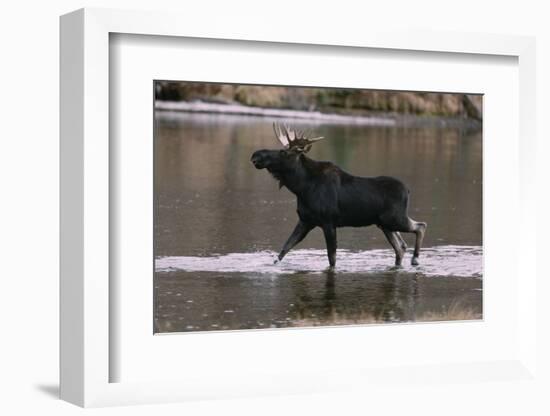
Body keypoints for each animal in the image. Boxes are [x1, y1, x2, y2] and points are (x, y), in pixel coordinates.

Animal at [252, 122, 430, 268]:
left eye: (283, 152)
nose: (256, 155)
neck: (301, 188)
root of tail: (407, 190)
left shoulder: (328, 222)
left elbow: (332, 258)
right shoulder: (305, 220)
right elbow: (284, 249)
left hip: (394, 219)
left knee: (420, 226)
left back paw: (416, 259)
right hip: (384, 224)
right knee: (400, 247)